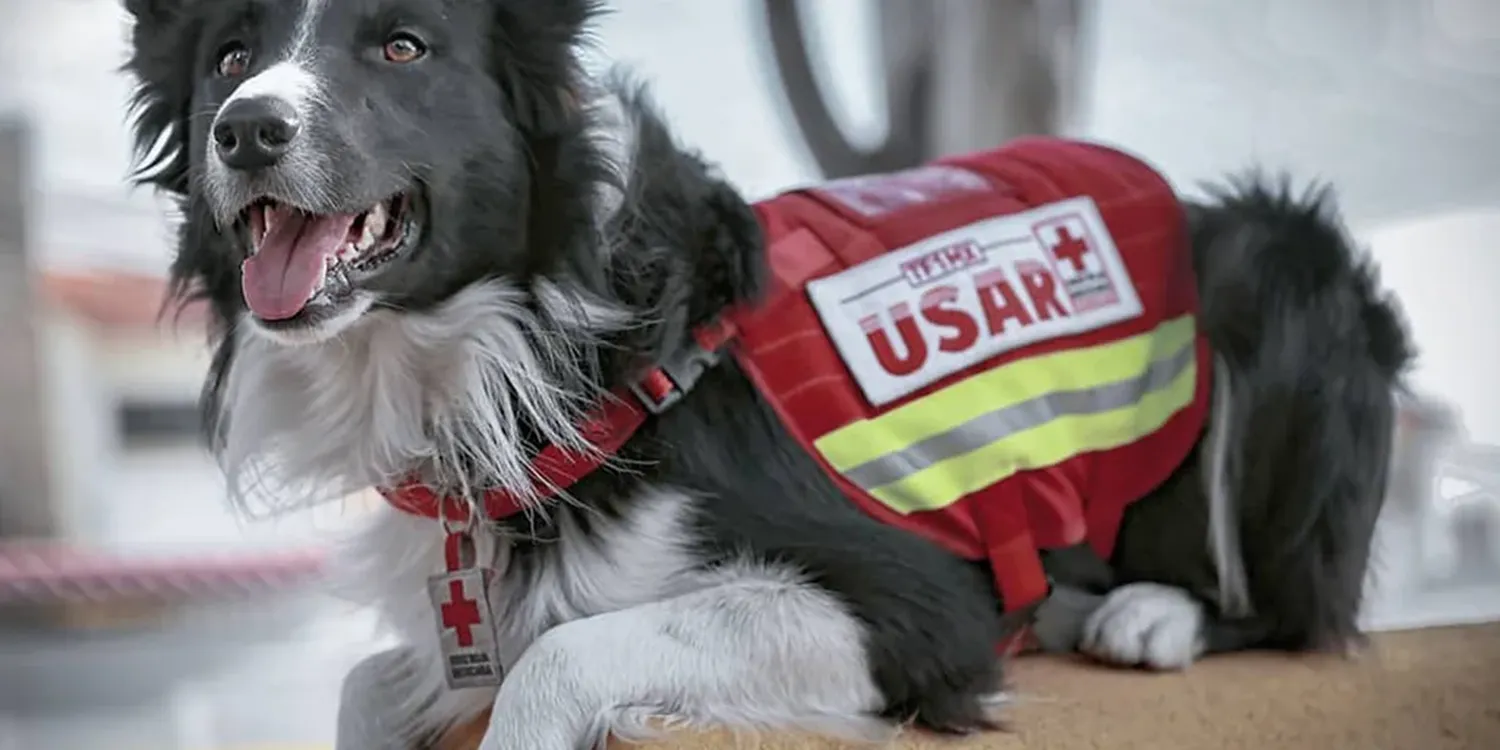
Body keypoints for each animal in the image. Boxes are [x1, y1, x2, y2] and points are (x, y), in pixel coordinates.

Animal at [123, 1, 1410, 750]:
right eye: (230, 58)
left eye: (402, 47)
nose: (247, 129)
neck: (536, 344)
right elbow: (368, 687)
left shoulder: (920, 606)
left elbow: (555, 659)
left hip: (1276, 256)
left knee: (1298, 608)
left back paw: (1152, 612)